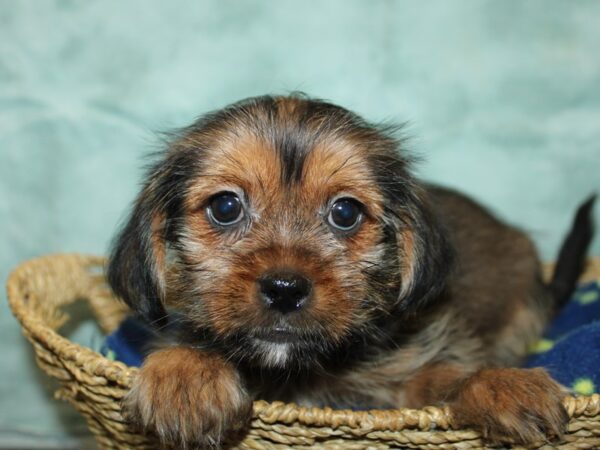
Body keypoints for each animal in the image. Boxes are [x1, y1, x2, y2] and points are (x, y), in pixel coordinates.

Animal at [108, 94, 596, 446]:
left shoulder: (405, 373)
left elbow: (444, 375)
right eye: (225, 207)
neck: (297, 370)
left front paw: (501, 385)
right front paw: (185, 379)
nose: (285, 288)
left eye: (345, 213)